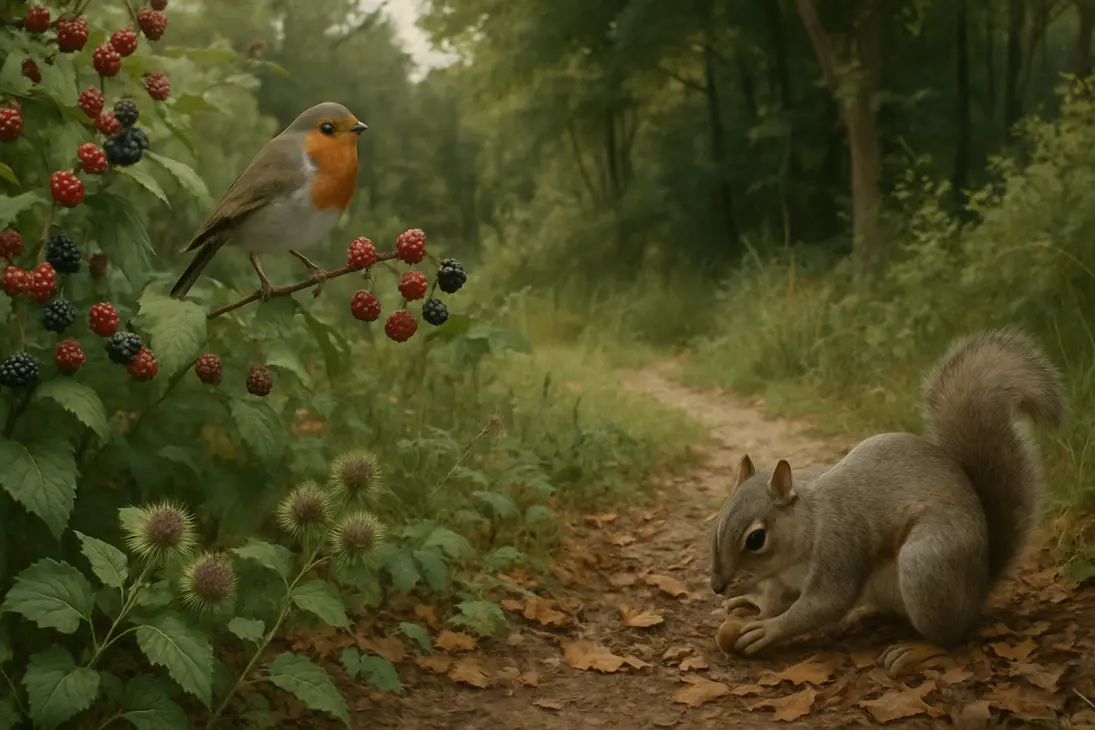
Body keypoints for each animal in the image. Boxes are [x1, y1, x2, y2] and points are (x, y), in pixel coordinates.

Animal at [709, 329, 1066, 676]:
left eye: (756, 538)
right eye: (717, 524)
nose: (717, 586)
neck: (806, 527)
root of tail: (979, 587)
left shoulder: (840, 551)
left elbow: (824, 604)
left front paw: (768, 629)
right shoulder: (782, 581)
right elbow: (776, 601)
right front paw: (753, 605)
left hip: (926, 563)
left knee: (952, 637)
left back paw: (918, 650)